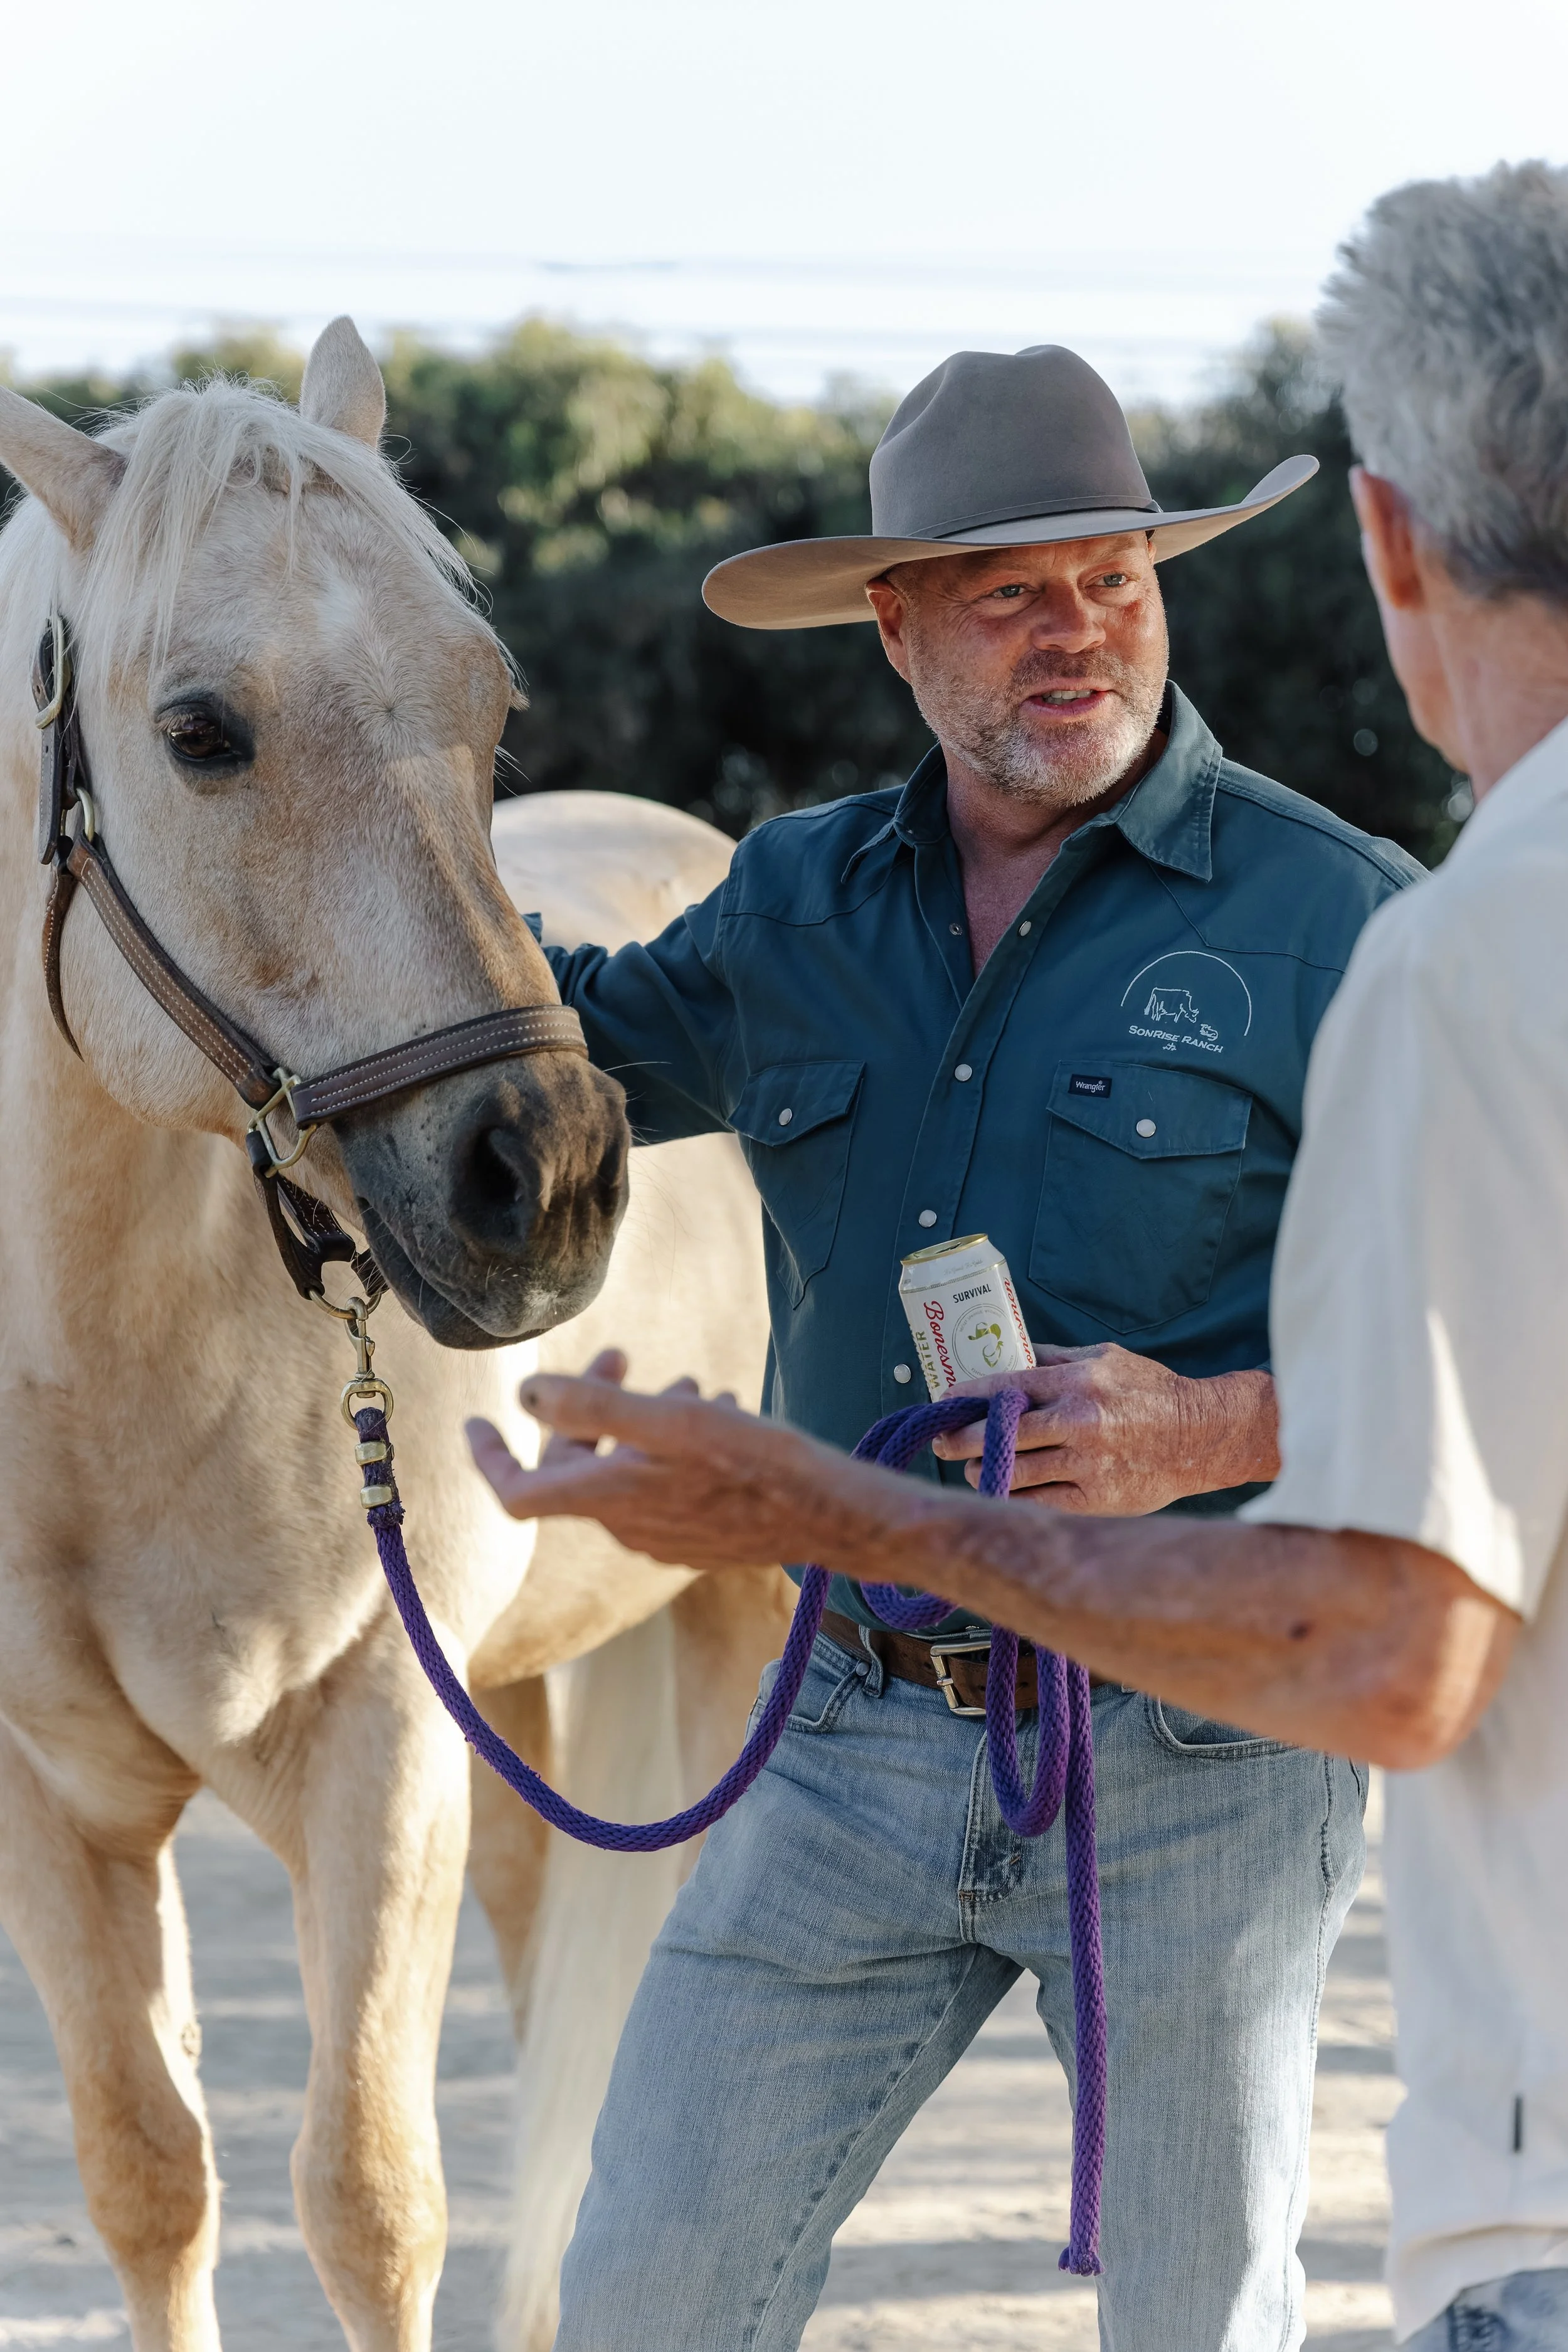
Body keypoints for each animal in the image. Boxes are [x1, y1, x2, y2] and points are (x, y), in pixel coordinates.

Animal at [0, 319, 786, 2352]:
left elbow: (368, 2197)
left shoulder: (384, 1744)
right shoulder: (51, 1793)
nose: (552, 1177)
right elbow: (149, 2171)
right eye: (201, 730)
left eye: (488, 704)